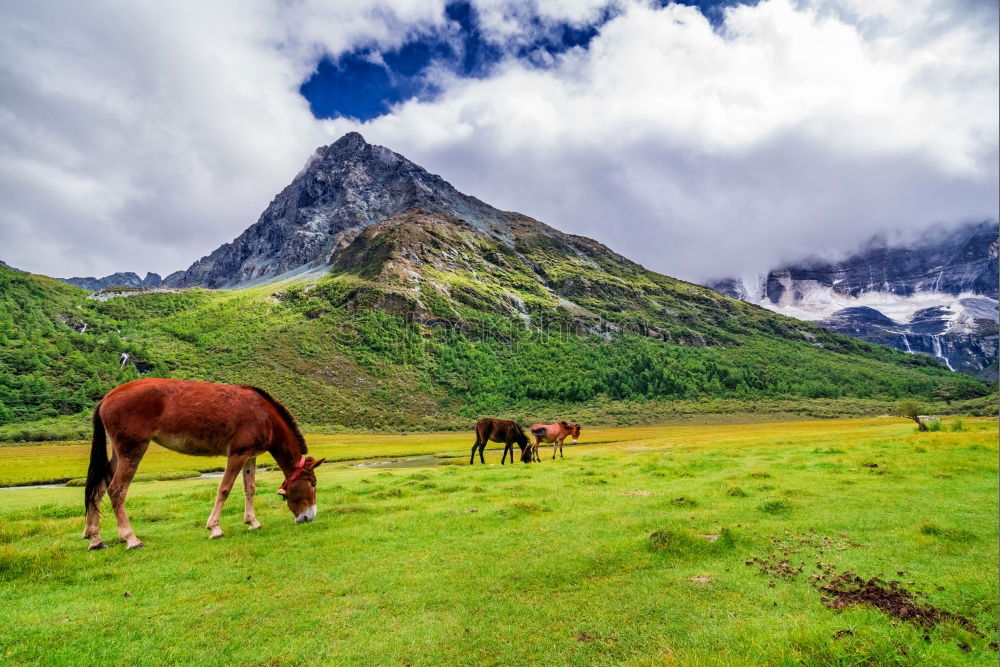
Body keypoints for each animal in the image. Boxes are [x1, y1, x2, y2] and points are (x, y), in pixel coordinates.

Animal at [83, 378, 324, 552]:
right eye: (312, 484)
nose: (310, 517)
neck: (264, 415)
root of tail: (107, 397)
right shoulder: (237, 454)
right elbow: (224, 489)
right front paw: (215, 528)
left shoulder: (250, 456)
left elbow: (250, 488)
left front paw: (252, 521)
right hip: (132, 450)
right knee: (116, 491)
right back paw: (131, 539)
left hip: (119, 453)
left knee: (99, 488)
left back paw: (95, 539)